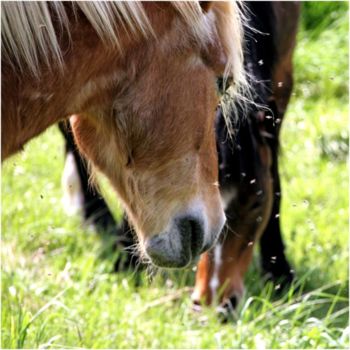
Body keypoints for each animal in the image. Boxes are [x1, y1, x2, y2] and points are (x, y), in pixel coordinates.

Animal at [58, 1, 300, 308]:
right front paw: (128, 258)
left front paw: (279, 271)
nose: (215, 303)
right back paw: (94, 213)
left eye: (257, 203)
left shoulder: (281, 85)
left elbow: (275, 181)